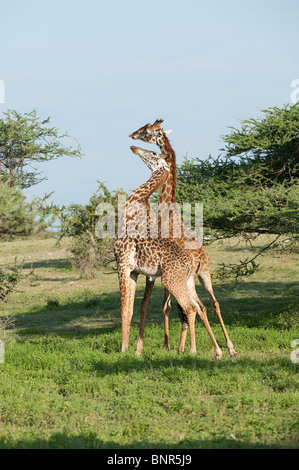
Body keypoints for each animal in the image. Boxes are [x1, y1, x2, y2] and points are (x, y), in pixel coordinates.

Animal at [113, 147, 221, 356]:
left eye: (154, 153)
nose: (134, 148)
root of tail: (190, 262)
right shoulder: (135, 271)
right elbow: (131, 309)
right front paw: (130, 348)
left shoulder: (122, 264)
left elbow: (124, 307)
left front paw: (123, 349)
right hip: (188, 280)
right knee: (202, 306)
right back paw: (219, 351)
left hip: (171, 280)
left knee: (190, 308)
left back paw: (192, 350)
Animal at [130, 119, 238, 358]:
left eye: (147, 131)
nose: (132, 137)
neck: (168, 208)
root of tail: (200, 256)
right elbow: (175, 307)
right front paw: (176, 345)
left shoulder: (159, 273)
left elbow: (164, 306)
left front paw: (169, 345)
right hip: (204, 274)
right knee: (212, 304)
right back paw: (229, 348)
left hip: (190, 277)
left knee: (195, 307)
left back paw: (198, 348)